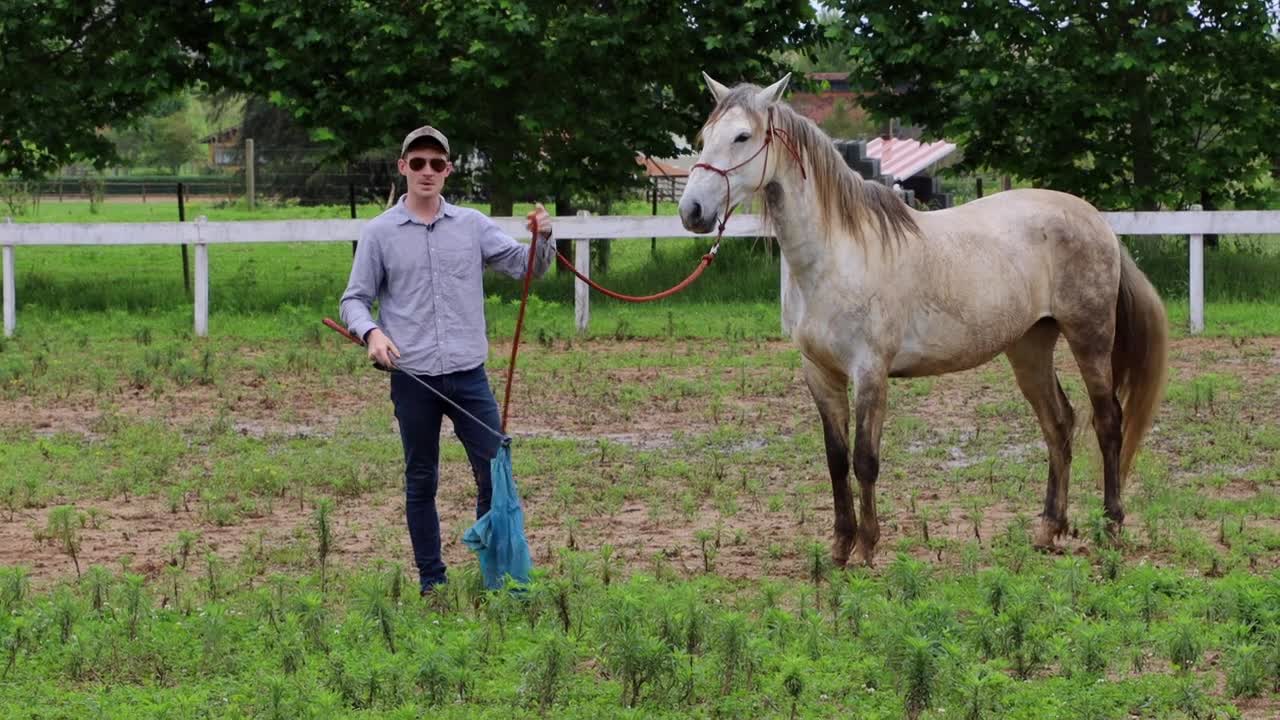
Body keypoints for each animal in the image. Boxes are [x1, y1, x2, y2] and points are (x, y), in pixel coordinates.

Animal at [680, 74, 1172, 566]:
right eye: (704, 137)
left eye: (743, 137)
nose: (692, 212)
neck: (835, 254)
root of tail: (1097, 221)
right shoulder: (819, 372)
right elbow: (836, 460)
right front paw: (839, 548)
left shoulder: (869, 371)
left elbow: (865, 460)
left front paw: (867, 548)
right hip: (1029, 347)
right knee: (1059, 424)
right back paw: (1048, 530)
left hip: (1090, 338)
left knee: (1108, 422)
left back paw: (1111, 526)